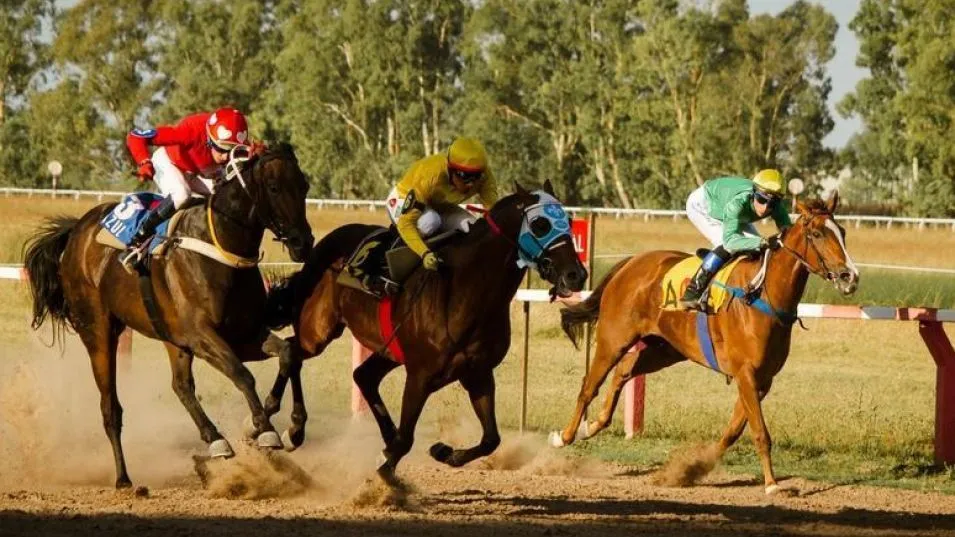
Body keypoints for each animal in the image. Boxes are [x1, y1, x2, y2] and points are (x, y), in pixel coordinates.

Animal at [23, 141, 314, 486]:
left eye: (305, 186)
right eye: (273, 187)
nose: (303, 243)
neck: (222, 248)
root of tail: (77, 230)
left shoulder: (243, 335)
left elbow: (288, 354)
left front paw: (290, 426)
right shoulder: (202, 335)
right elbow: (242, 374)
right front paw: (266, 430)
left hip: (171, 338)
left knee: (180, 386)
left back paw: (216, 440)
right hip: (98, 332)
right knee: (111, 408)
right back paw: (123, 477)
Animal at [266, 182, 588, 484]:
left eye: (569, 221)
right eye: (541, 224)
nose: (576, 274)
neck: (465, 291)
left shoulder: (478, 373)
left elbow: (490, 439)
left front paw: (444, 451)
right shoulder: (420, 375)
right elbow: (405, 441)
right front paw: (383, 474)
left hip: (387, 348)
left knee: (362, 376)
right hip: (318, 330)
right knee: (292, 351)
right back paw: (289, 426)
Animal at [552, 192, 860, 494]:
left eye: (842, 232)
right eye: (817, 234)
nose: (850, 277)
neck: (763, 296)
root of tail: (631, 262)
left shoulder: (762, 379)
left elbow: (734, 430)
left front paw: (691, 469)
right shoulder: (745, 374)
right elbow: (760, 432)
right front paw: (772, 484)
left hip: (664, 350)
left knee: (623, 372)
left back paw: (592, 426)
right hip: (614, 339)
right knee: (588, 387)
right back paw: (564, 436)